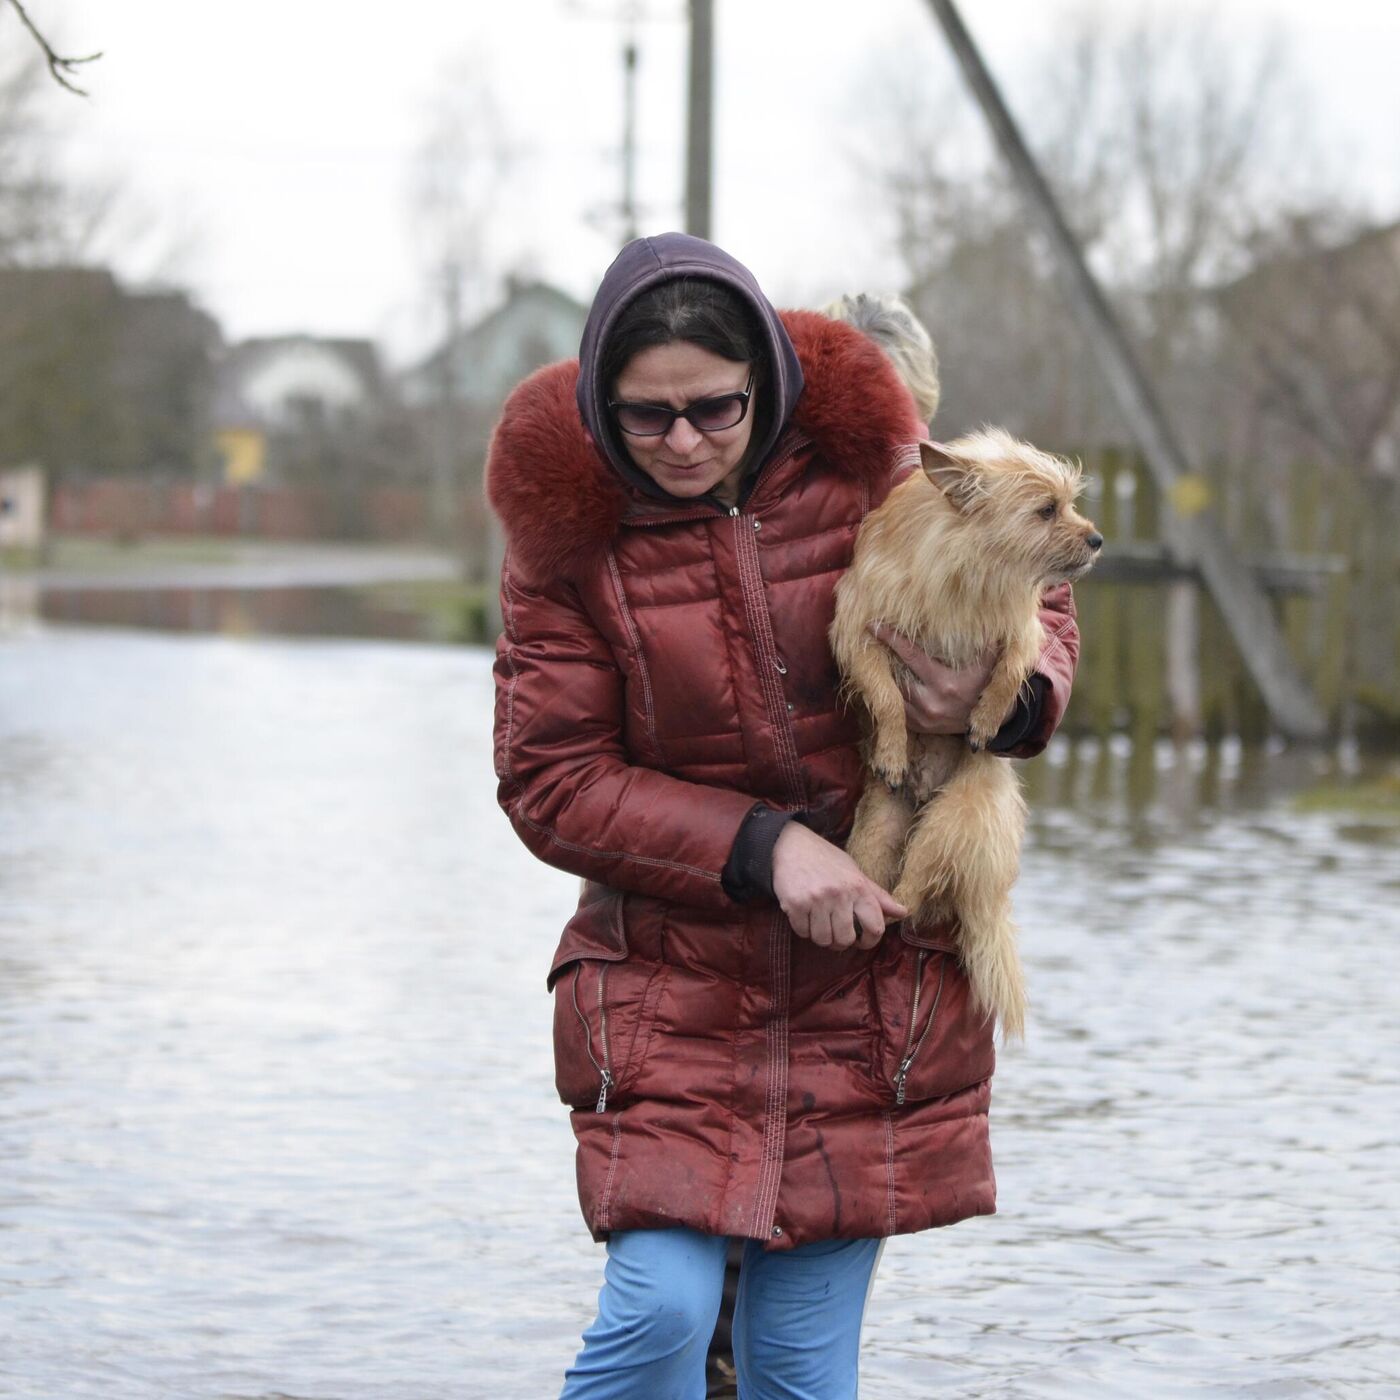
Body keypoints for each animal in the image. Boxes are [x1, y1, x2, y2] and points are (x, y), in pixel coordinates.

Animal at [834, 434, 1097, 1041]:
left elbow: (1010, 670)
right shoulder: (860, 628)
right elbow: (885, 693)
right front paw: (891, 746)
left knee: (915, 891)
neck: (974, 569)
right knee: (895, 889)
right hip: (877, 833)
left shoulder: (1022, 627)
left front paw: (984, 720)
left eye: (1068, 504)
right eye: (1047, 510)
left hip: (950, 824)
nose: (1097, 538)